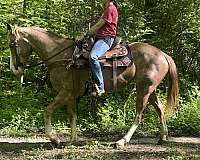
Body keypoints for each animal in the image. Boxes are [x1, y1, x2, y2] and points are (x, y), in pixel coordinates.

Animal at [6, 23, 179, 147]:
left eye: (11, 45)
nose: (16, 69)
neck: (61, 56)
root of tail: (162, 54)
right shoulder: (71, 95)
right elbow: (72, 116)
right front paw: (72, 140)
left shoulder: (64, 92)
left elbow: (47, 111)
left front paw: (54, 139)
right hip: (150, 89)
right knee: (160, 109)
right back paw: (162, 137)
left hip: (144, 89)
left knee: (139, 114)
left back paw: (121, 141)